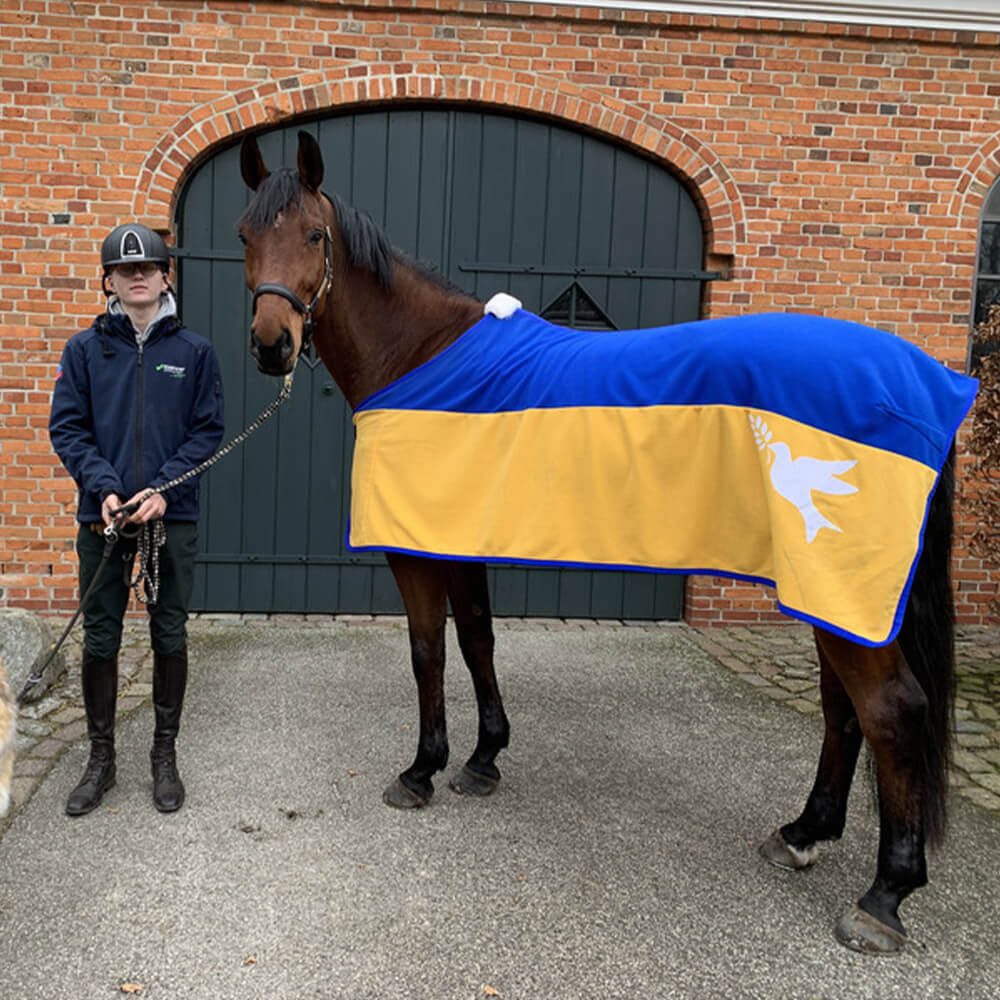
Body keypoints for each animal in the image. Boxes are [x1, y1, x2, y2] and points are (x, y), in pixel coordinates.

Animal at [236, 128, 964, 955]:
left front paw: (421, 770)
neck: (422, 356)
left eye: (313, 235)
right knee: (844, 709)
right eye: (245, 236)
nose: (271, 344)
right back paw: (803, 833)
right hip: (828, 595)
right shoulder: (464, 544)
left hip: (843, 591)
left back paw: (884, 897)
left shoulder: (418, 551)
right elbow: (477, 641)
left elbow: (428, 652)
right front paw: (484, 759)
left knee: (891, 711)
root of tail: (923, 377)